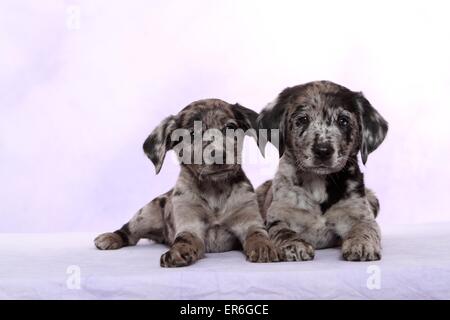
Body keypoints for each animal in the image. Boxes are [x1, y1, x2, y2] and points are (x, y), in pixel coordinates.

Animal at [94, 99, 278, 268]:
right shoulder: (190, 226)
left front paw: (263, 248)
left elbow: (258, 235)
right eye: (191, 135)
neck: (215, 189)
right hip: (147, 213)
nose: (218, 155)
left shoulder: (249, 221)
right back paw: (110, 237)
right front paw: (177, 252)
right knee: (130, 233)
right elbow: (185, 240)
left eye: (230, 127)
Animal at [258, 81, 388, 262]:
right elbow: (283, 231)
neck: (318, 181)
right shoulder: (279, 214)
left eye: (343, 121)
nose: (323, 150)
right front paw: (294, 245)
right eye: (303, 119)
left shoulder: (360, 213)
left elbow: (365, 228)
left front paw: (361, 245)